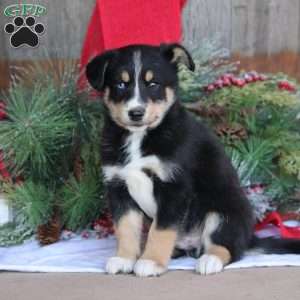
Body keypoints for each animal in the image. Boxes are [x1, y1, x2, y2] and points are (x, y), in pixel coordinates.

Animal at [85, 42, 300, 276]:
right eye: (121, 84)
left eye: (153, 84)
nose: (136, 113)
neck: (140, 137)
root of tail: (250, 237)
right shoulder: (118, 186)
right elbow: (126, 228)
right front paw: (124, 258)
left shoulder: (174, 187)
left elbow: (160, 230)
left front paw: (151, 261)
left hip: (224, 212)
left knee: (229, 248)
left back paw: (210, 260)